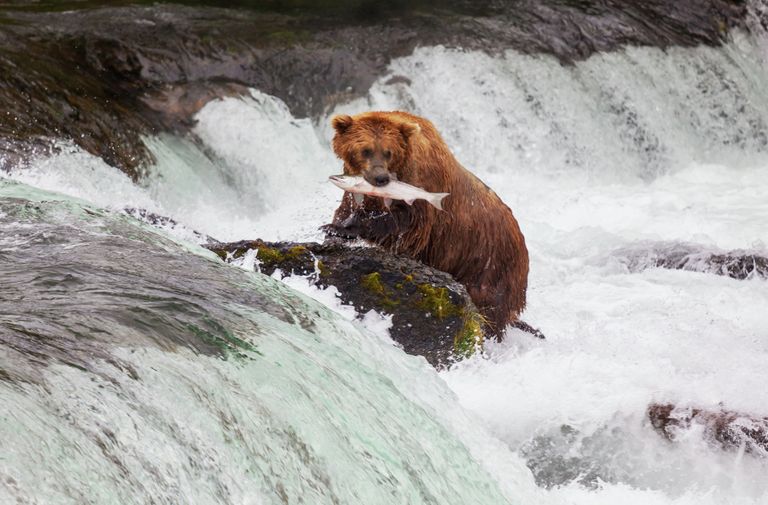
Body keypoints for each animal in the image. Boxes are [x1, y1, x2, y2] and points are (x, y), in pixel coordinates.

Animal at [324, 110, 529, 337]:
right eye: (365, 150)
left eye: (388, 152)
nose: (381, 178)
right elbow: (347, 208)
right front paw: (334, 229)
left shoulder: (421, 190)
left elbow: (405, 224)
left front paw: (345, 228)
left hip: (490, 266)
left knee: (489, 310)